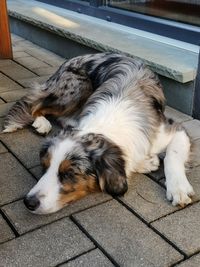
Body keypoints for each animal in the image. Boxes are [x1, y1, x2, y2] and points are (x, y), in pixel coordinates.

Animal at [2, 52, 194, 216]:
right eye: (44, 166)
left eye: (69, 174)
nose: (29, 202)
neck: (107, 125)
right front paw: (146, 163)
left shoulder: (174, 129)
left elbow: (171, 156)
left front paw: (178, 188)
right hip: (75, 88)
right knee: (33, 104)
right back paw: (41, 123)